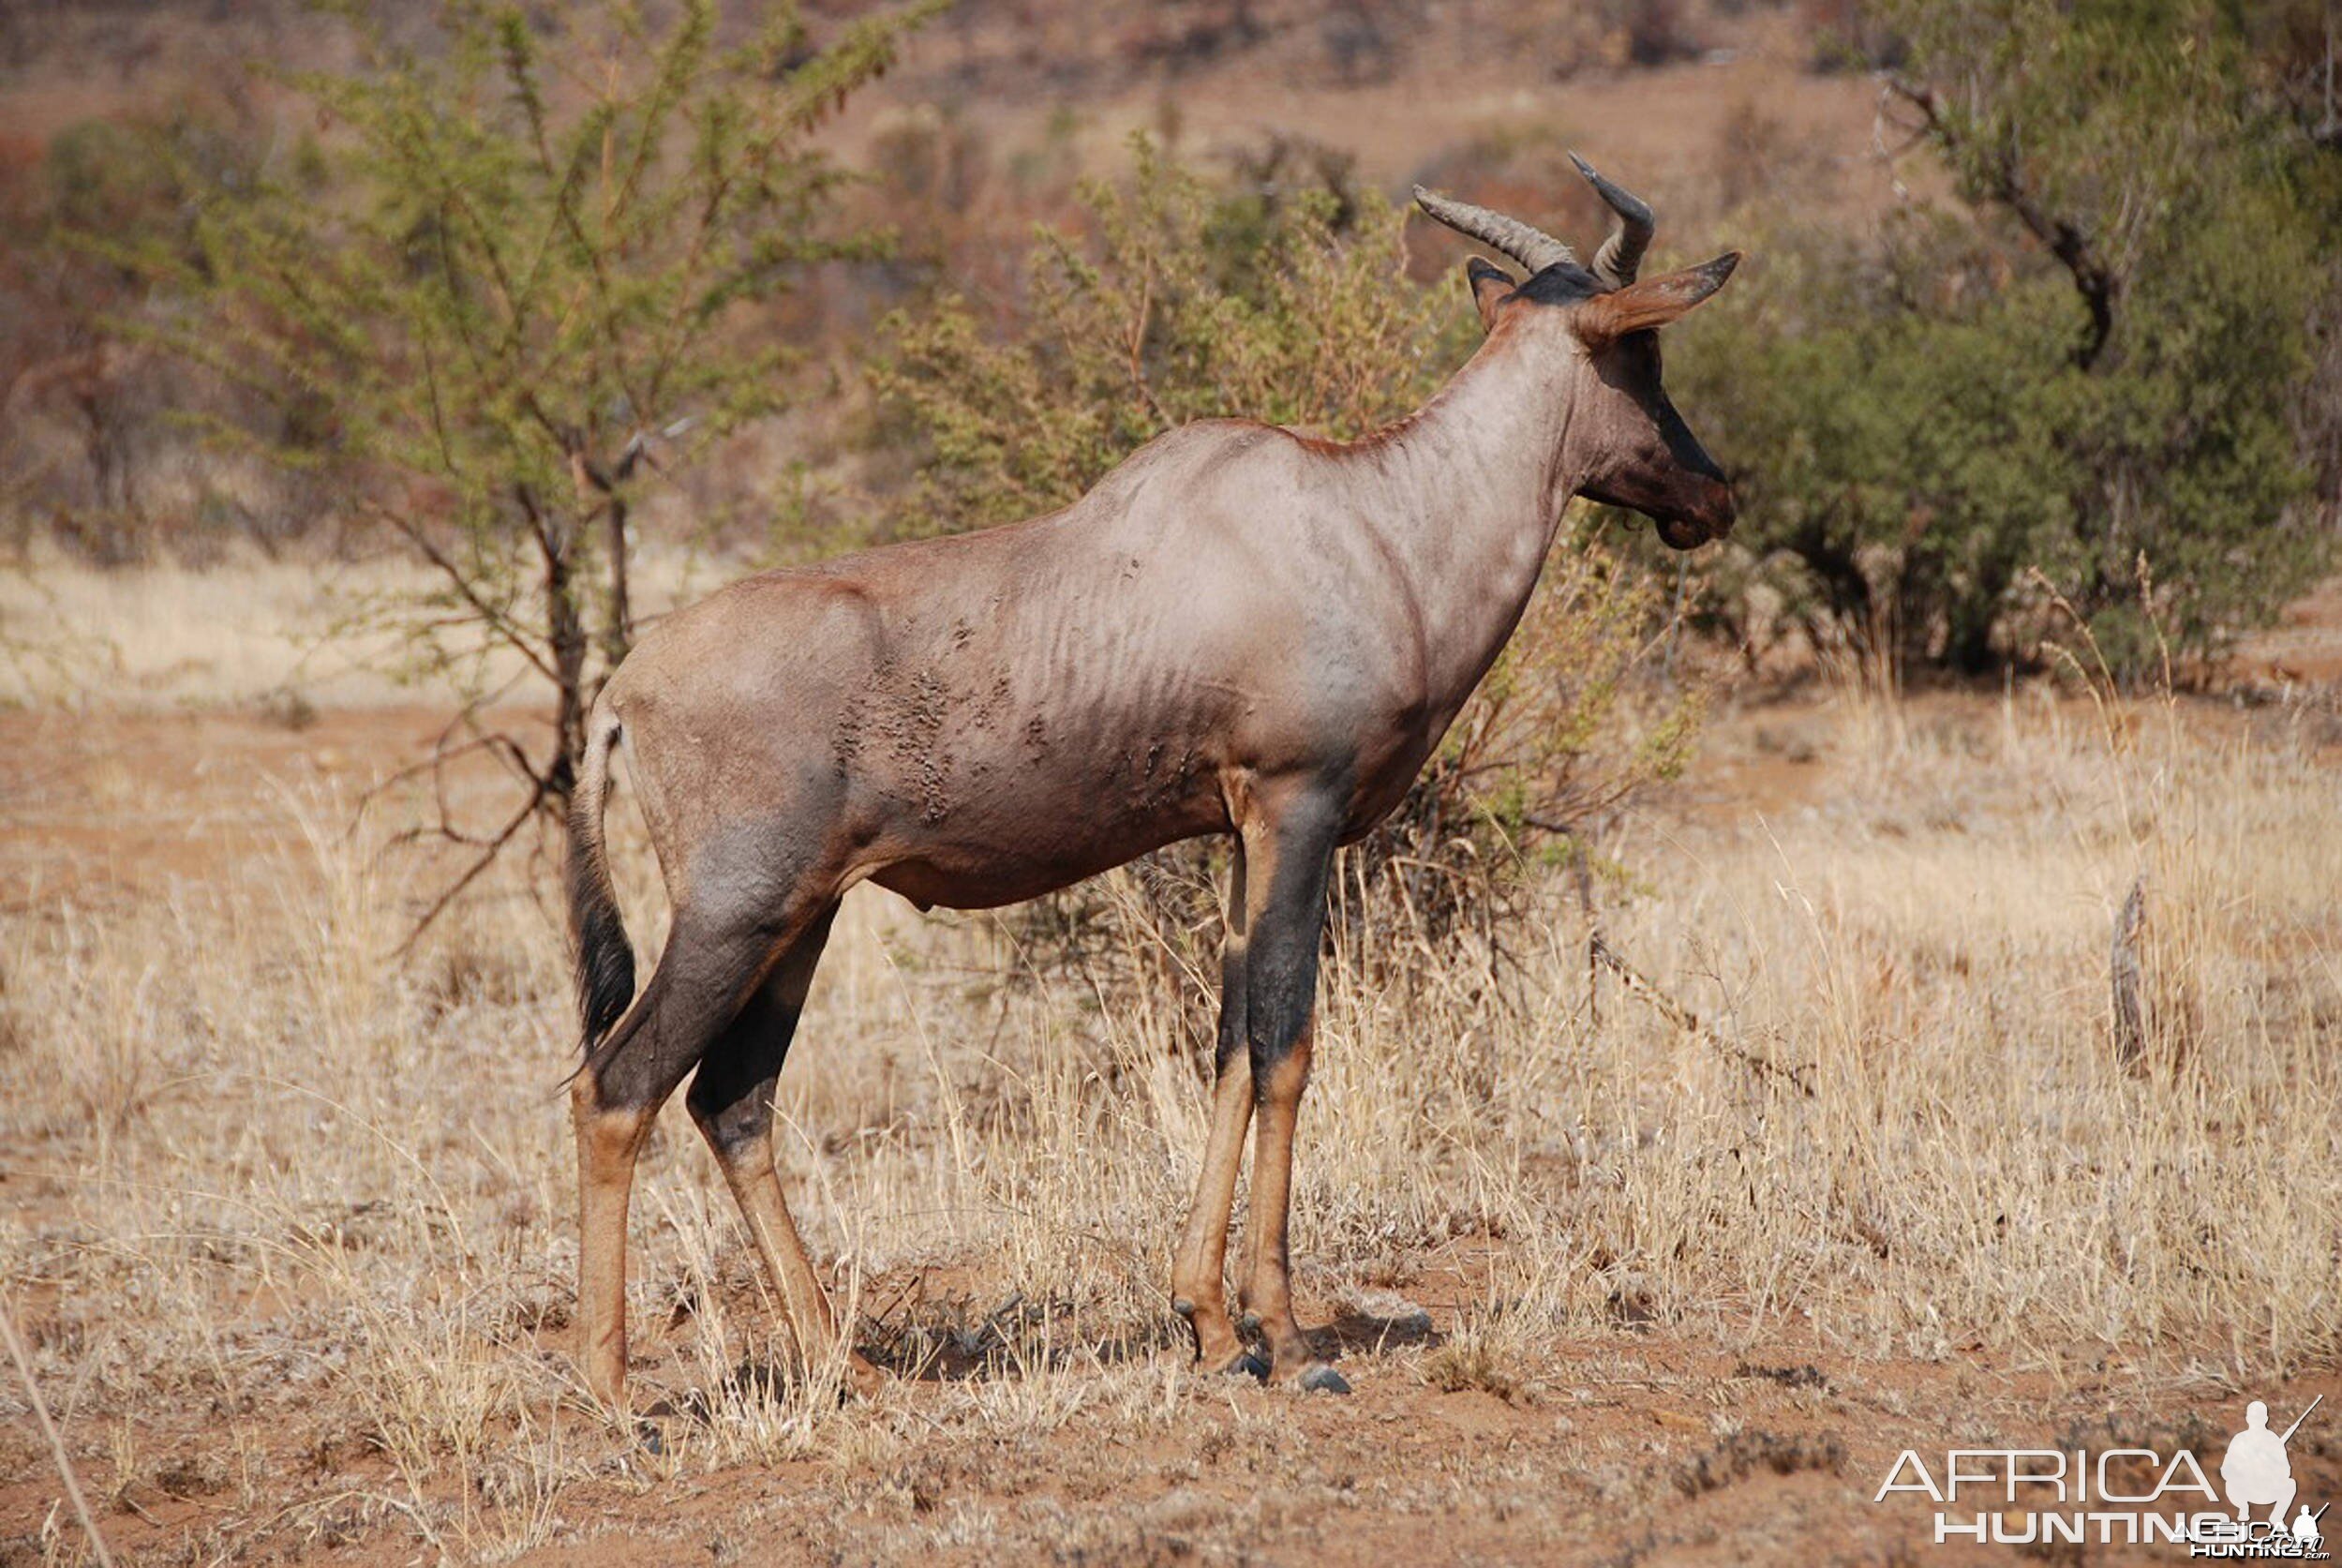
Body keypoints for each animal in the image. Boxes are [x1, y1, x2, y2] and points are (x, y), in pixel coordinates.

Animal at [566, 159, 1742, 1406]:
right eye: (1644, 354)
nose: (1715, 497)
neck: (1366, 516)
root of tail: (625, 687)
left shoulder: (1238, 830)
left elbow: (1229, 1046)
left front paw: (1212, 1327)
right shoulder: (1298, 807)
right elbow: (1286, 1045)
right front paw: (1291, 1341)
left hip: (804, 915)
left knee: (732, 1099)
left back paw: (852, 1369)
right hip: (736, 912)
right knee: (620, 1088)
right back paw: (616, 1391)